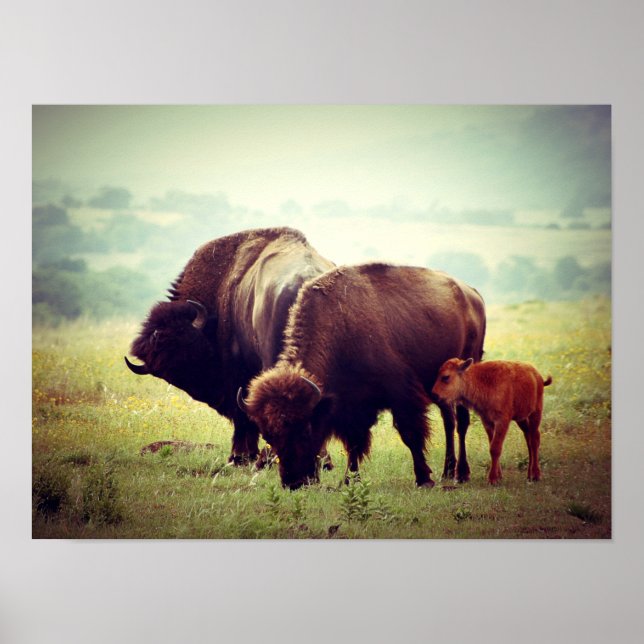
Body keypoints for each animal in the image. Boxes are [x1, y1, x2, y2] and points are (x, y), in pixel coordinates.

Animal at [238, 262, 486, 489]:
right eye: (268, 436)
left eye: (305, 429)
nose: (293, 482)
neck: (340, 329)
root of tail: (473, 294)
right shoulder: (352, 407)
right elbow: (355, 444)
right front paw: (350, 480)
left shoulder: (401, 395)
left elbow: (410, 434)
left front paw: (423, 479)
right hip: (439, 389)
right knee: (449, 420)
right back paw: (448, 471)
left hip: (466, 372)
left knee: (461, 422)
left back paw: (461, 474)